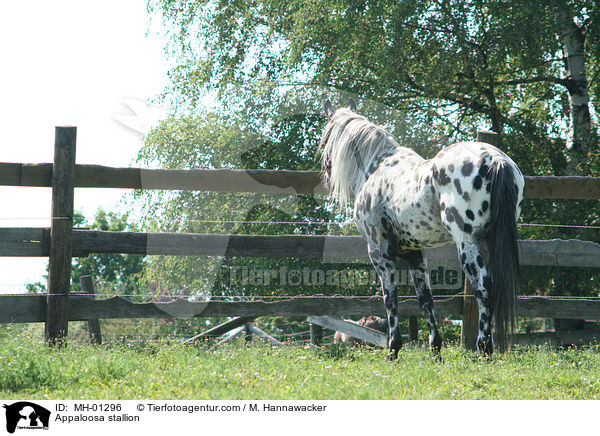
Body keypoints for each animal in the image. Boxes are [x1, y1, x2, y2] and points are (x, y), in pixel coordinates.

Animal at [322, 99, 524, 358]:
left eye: (325, 139)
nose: (327, 172)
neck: (375, 168)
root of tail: (495, 160)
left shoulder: (379, 252)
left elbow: (390, 297)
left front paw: (393, 349)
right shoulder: (413, 253)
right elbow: (425, 298)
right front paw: (435, 350)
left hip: (467, 243)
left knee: (483, 286)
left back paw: (483, 348)